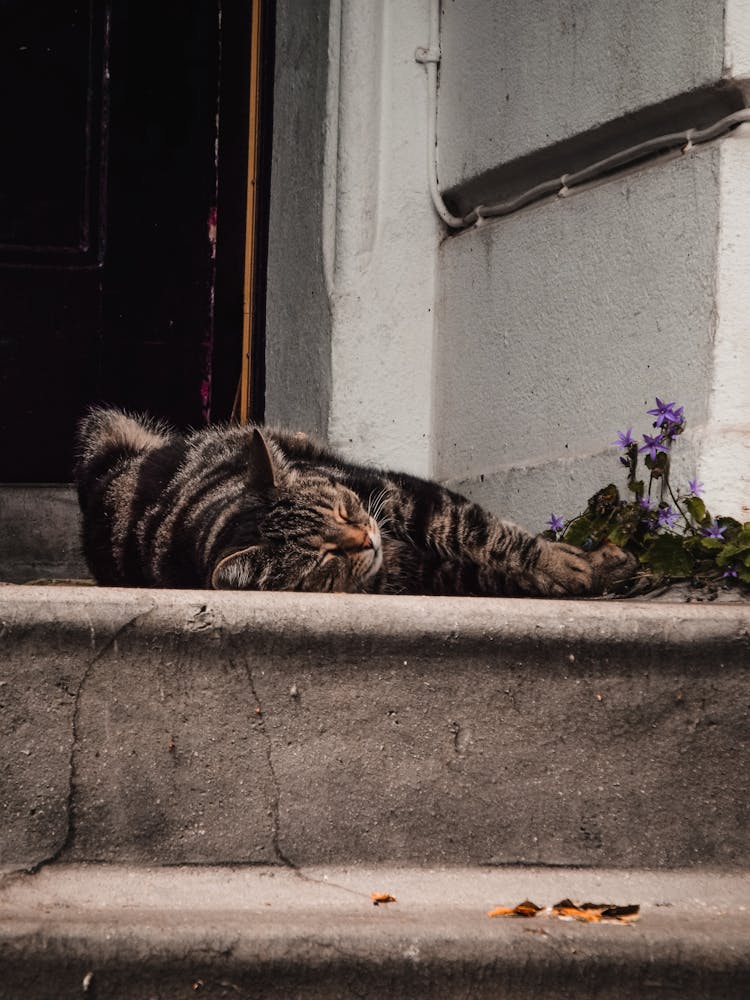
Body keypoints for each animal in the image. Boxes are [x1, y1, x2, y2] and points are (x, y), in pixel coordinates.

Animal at [73, 404, 636, 592]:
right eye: (327, 556)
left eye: (344, 509)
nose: (367, 538)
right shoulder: (420, 572)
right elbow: (489, 566)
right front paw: (580, 571)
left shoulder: (402, 495)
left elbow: (486, 534)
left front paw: (574, 562)